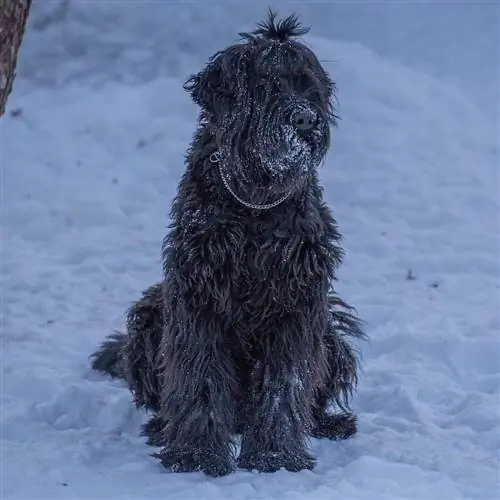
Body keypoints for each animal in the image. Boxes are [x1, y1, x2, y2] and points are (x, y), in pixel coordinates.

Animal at [91, 11, 364, 476]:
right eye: (266, 86)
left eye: (307, 84)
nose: (306, 120)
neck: (254, 203)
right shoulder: (198, 299)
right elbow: (199, 377)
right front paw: (197, 454)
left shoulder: (296, 304)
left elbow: (285, 382)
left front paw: (276, 456)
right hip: (151, 315)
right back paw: (163, 429)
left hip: (331, 335)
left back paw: (328, 423)